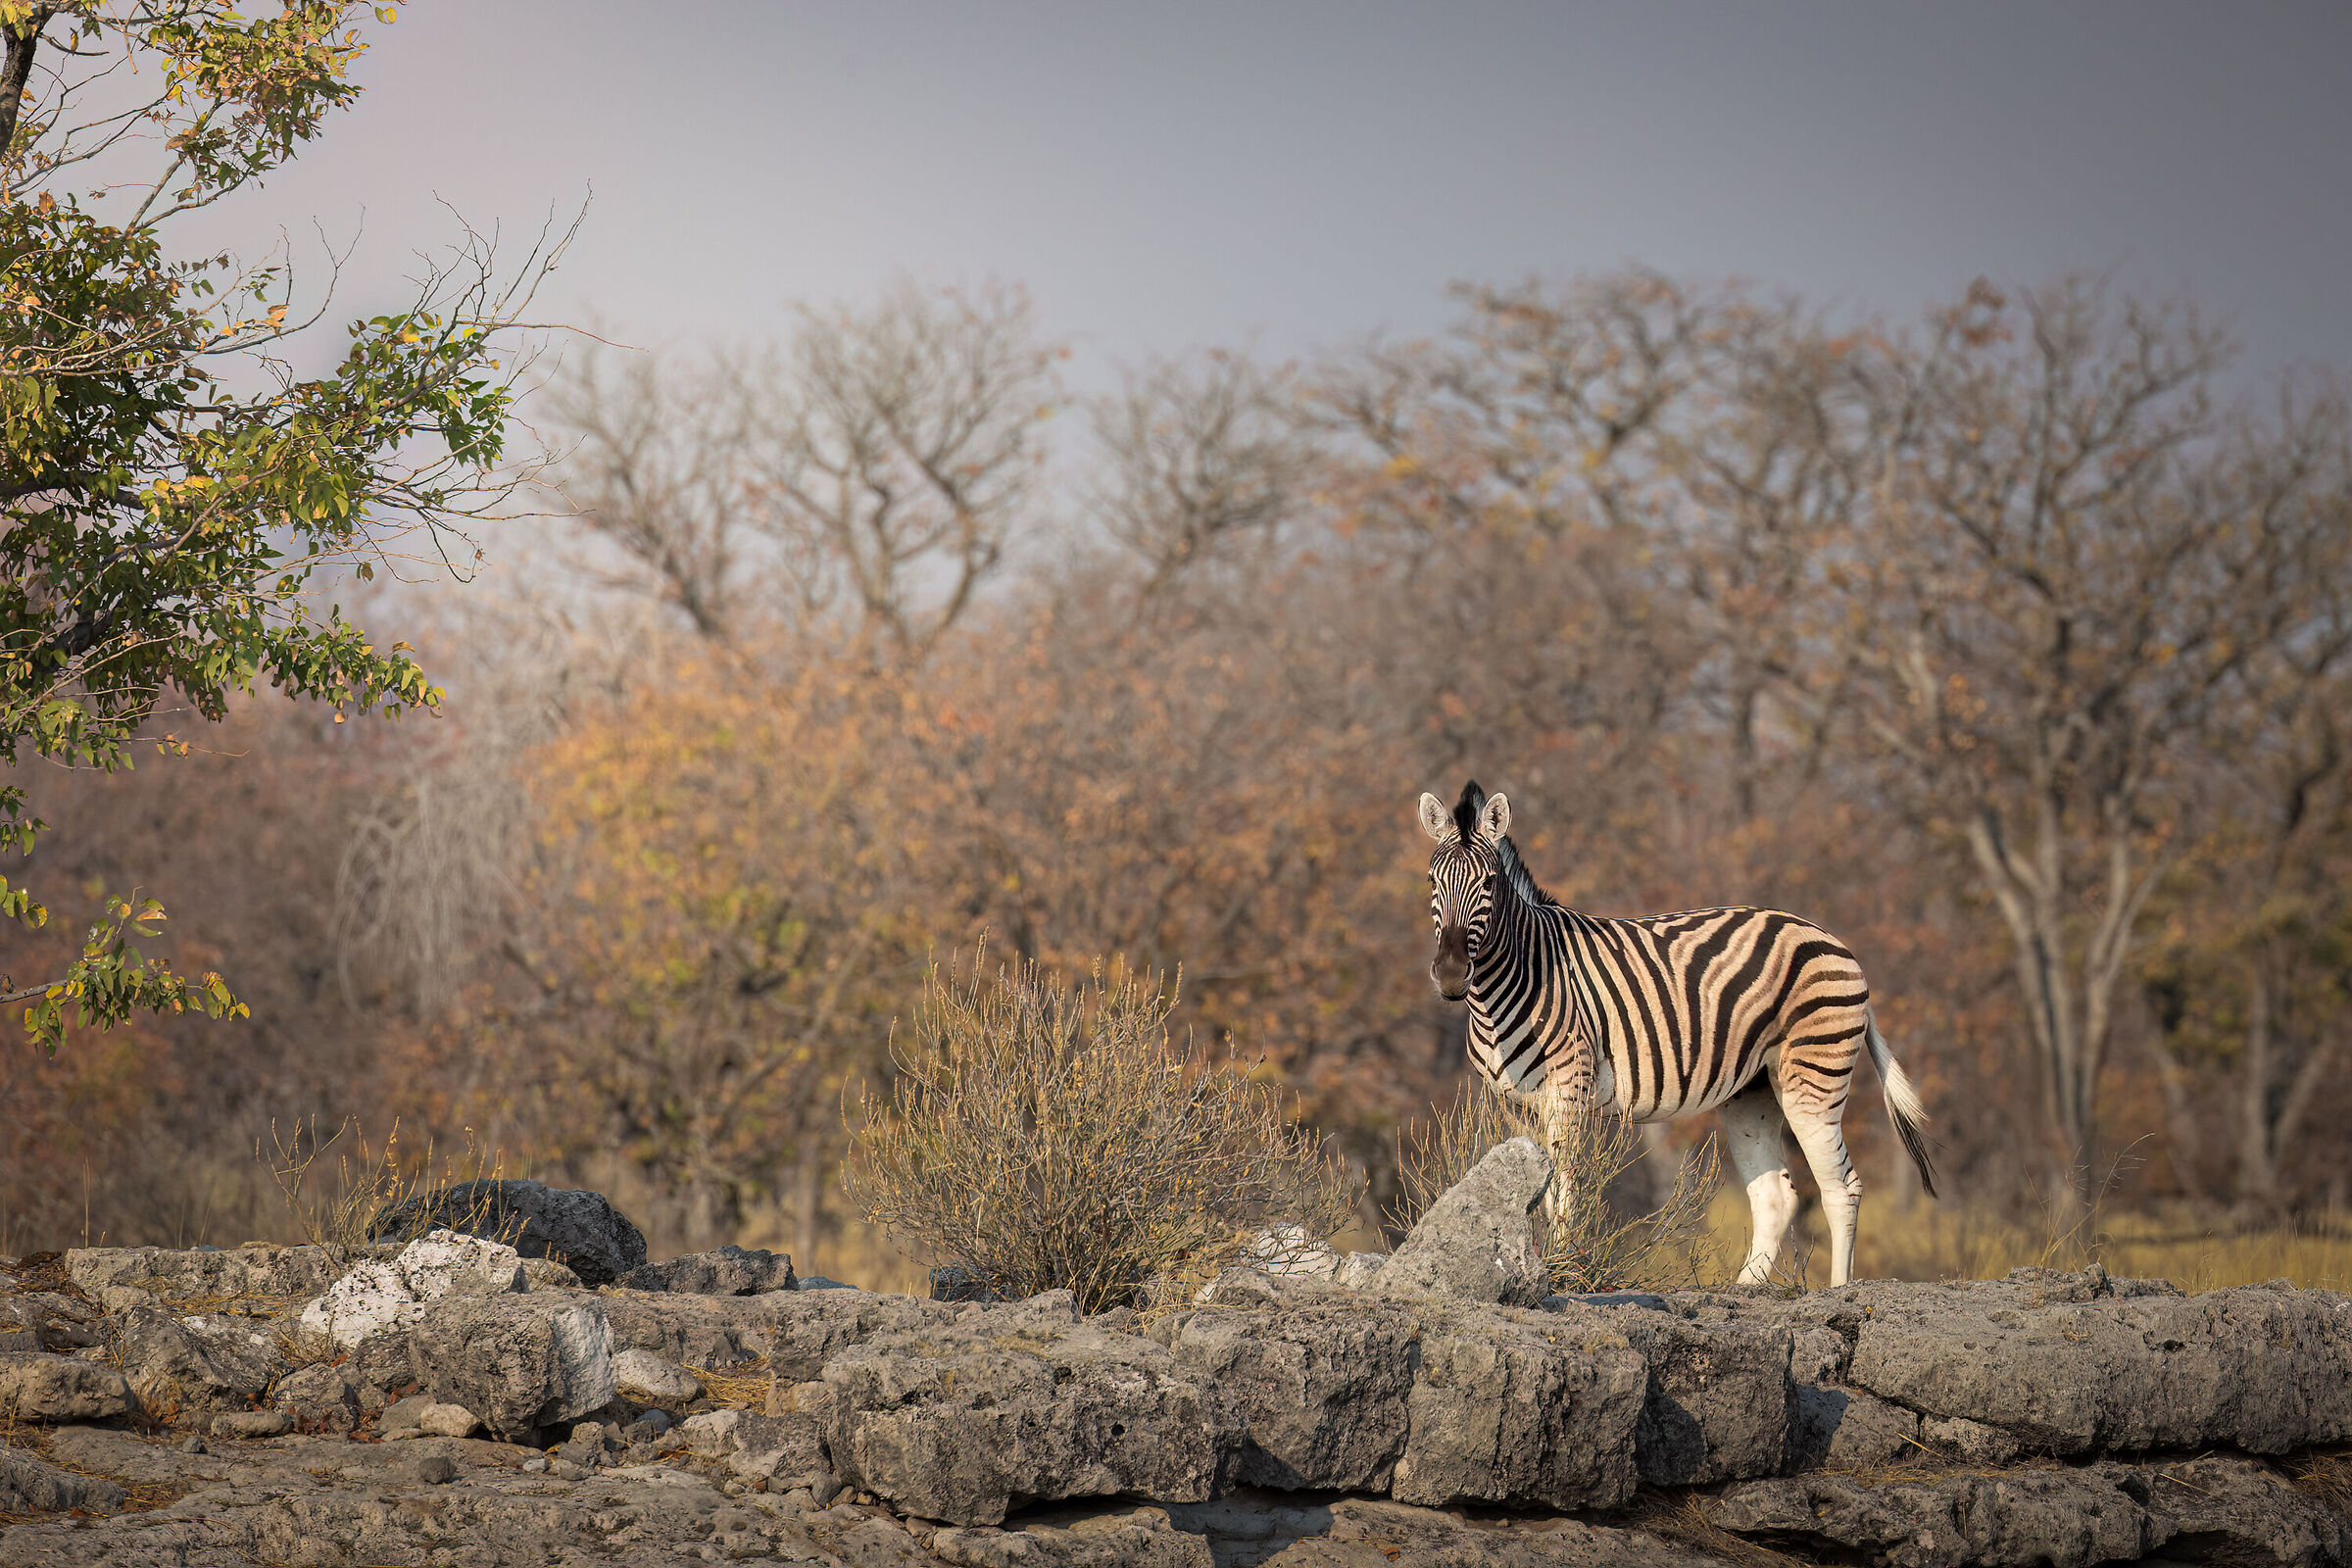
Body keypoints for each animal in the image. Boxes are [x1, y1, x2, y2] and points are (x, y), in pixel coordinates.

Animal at [1419, 779, 1935, 1289]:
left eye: (1488, 883)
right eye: (1431, 881)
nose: (1450, 976)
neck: (1519, 975)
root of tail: (1831, 938)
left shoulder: (1569, 1088)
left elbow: (1564, 1182)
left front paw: (1562, 1269)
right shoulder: (1516, 1105)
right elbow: (1534, 1186)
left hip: (1813, 1079)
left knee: (1842, 1188)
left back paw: (1840, 1291)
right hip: (1753, 1092)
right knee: (1776, 1195)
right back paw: (1744, 1290)